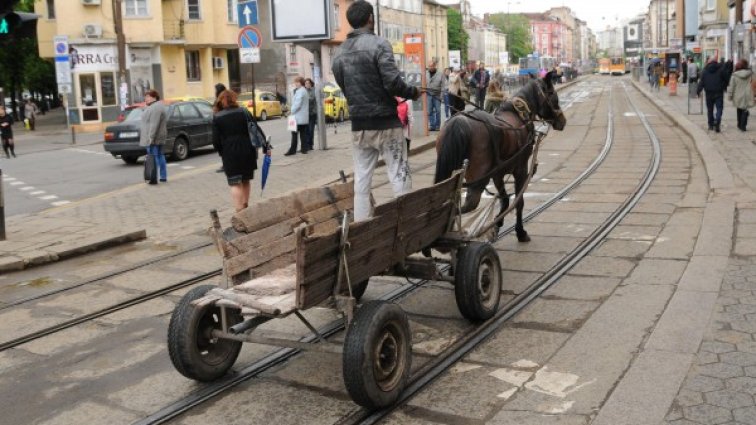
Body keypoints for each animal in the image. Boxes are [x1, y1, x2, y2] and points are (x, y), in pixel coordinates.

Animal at [432, 71, 568, 240]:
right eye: (554, 96)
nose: (562, 121)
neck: (519, 115)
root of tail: (459, 120)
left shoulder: (497, 174)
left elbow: (504, 200)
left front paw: (497, 224)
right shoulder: (520, 170)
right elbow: (518, 201)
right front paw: (520, 232)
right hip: (478, 178)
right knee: (466, 205)